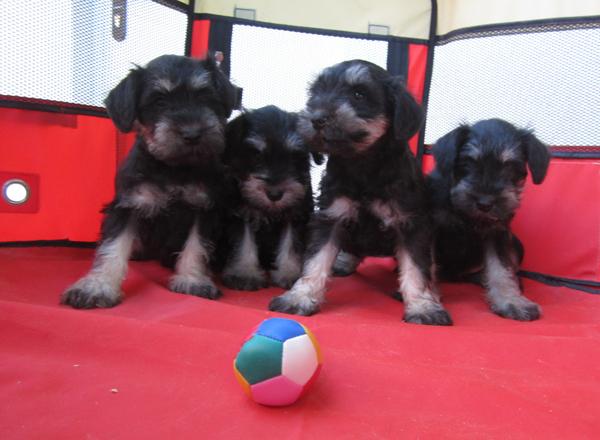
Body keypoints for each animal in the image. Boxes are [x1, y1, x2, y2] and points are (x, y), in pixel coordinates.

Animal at [61, 55, 239, 308]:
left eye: (205, 96)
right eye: (159, 101)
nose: (192, 134)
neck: (173, 167)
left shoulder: (204, 209)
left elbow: (197, 246)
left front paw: (192, 280)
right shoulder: (128, 205)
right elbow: (112, 247)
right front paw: (97, 287)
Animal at [221, 106, 318, 290]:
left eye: (295, 157)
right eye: (256, 155)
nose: (274, 194)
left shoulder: (295, 215)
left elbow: (290, 244)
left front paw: (289, 273)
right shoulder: (242, 214)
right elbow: (244, 244)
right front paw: (245, 274)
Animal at [268, 60, 450, 324]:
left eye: (359, 95)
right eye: (315, 93)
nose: (317, 118)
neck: (362, 164)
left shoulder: (412, 225)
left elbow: (417, 267)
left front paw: (423, 306)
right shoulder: (331, 218)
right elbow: (316, 260)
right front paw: (299, 297)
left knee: (431, 263)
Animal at [428, 118, 552, 322]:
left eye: (510, 166)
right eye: (469, 162)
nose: (485, 203)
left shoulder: (497, 234)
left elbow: (500, 269)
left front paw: (512, 302)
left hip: (516, 244)